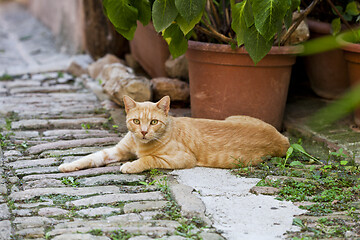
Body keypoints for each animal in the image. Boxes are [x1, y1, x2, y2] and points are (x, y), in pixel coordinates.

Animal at [58, 94, 290, 173]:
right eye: (136, 121)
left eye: (153, 122)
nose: (143, 132)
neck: (139, 143)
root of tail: (283, 139)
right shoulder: (117, 150)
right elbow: (92, 156)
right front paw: (68, 165)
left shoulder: (183, 158)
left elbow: (148, 159)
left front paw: (131, 165)